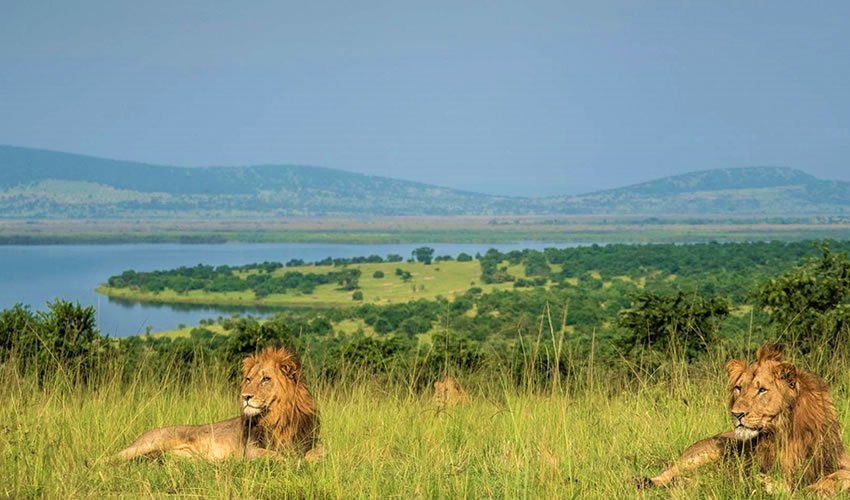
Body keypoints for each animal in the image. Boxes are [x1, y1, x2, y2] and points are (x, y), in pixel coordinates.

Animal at [115, 346, 320, 461]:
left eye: (266, 379)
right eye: (248, 379)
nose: (245, 396)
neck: (278, 417)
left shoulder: (311, 442)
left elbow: (316, 454)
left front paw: (308, 460)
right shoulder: (250, 450)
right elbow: (277, 456)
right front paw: (293, 462)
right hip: (149, 443)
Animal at [639, 343, 850, 495]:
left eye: (762, 390)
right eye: (738, 388)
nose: (736, 414)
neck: (784, 435)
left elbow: (840, 475)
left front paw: (818, 488)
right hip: (703, 453)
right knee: (667, 475)